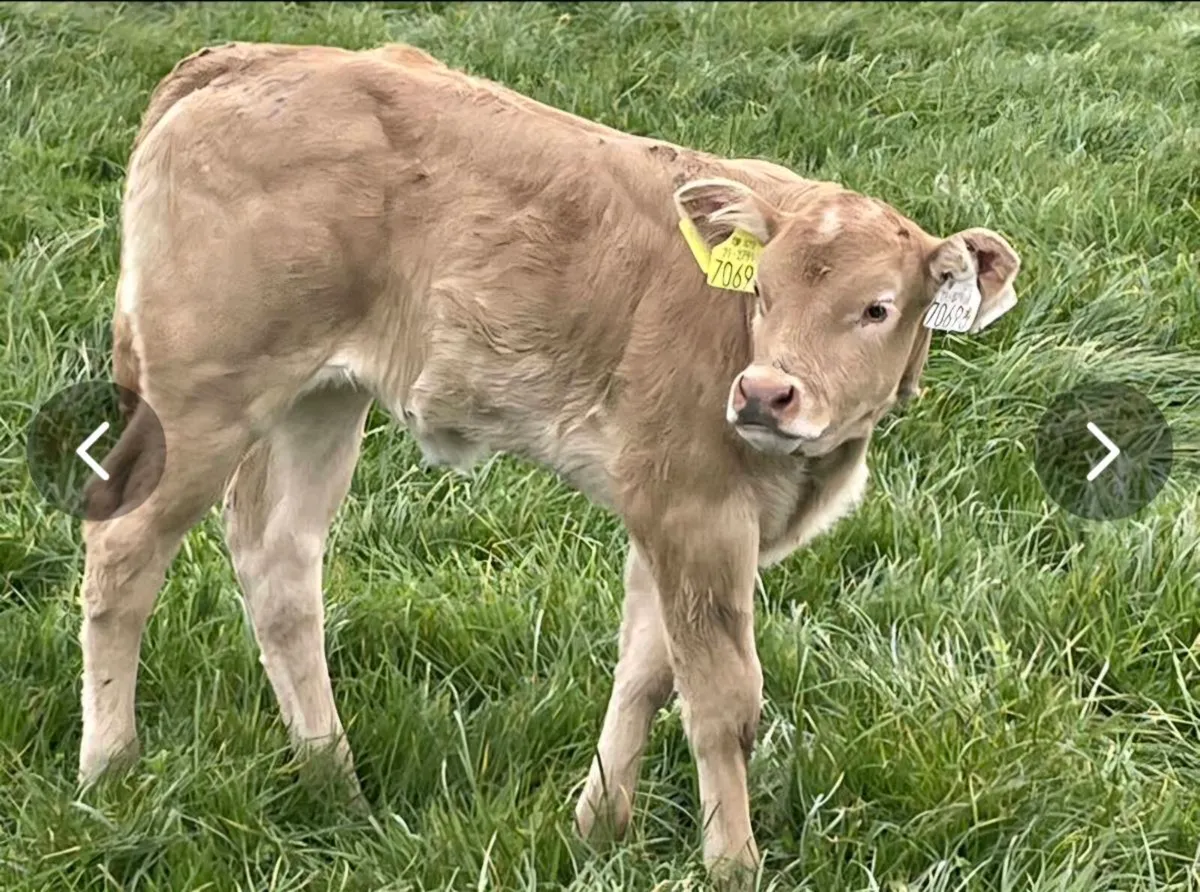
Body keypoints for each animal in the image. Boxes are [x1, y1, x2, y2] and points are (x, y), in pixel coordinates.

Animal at [80, 41, 1021, 882]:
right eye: (761, 293)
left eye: (877, 307)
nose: (764, 393)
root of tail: (252, 58)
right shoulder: (697, 512)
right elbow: (722, 702)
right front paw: (732, 865)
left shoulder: (670, 520)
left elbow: (647, 671)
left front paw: (598, 827)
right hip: (202, 398)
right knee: (124, 558)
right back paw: (110, 771)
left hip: (319, 399)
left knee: (278, 567)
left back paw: (332, 779)